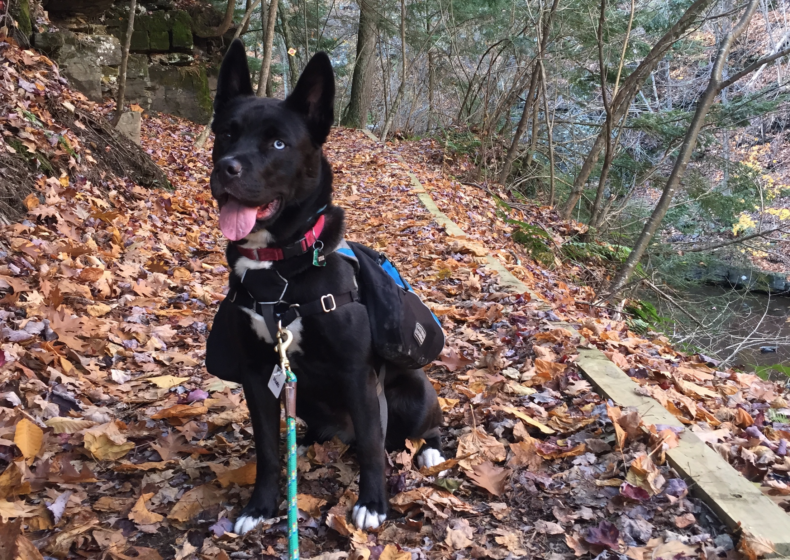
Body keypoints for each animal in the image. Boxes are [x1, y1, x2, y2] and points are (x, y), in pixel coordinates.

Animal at [206, 40, 446, 532]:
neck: (279, 270)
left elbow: (373, 447)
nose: (226, 168)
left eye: (278, 142)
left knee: (417, 430)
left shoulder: (359, 376)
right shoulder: (257, 376)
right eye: (226, 134)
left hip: (414, 392)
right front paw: (260, 507)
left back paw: (429, 450)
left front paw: (373, 503)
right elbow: (267, 450)